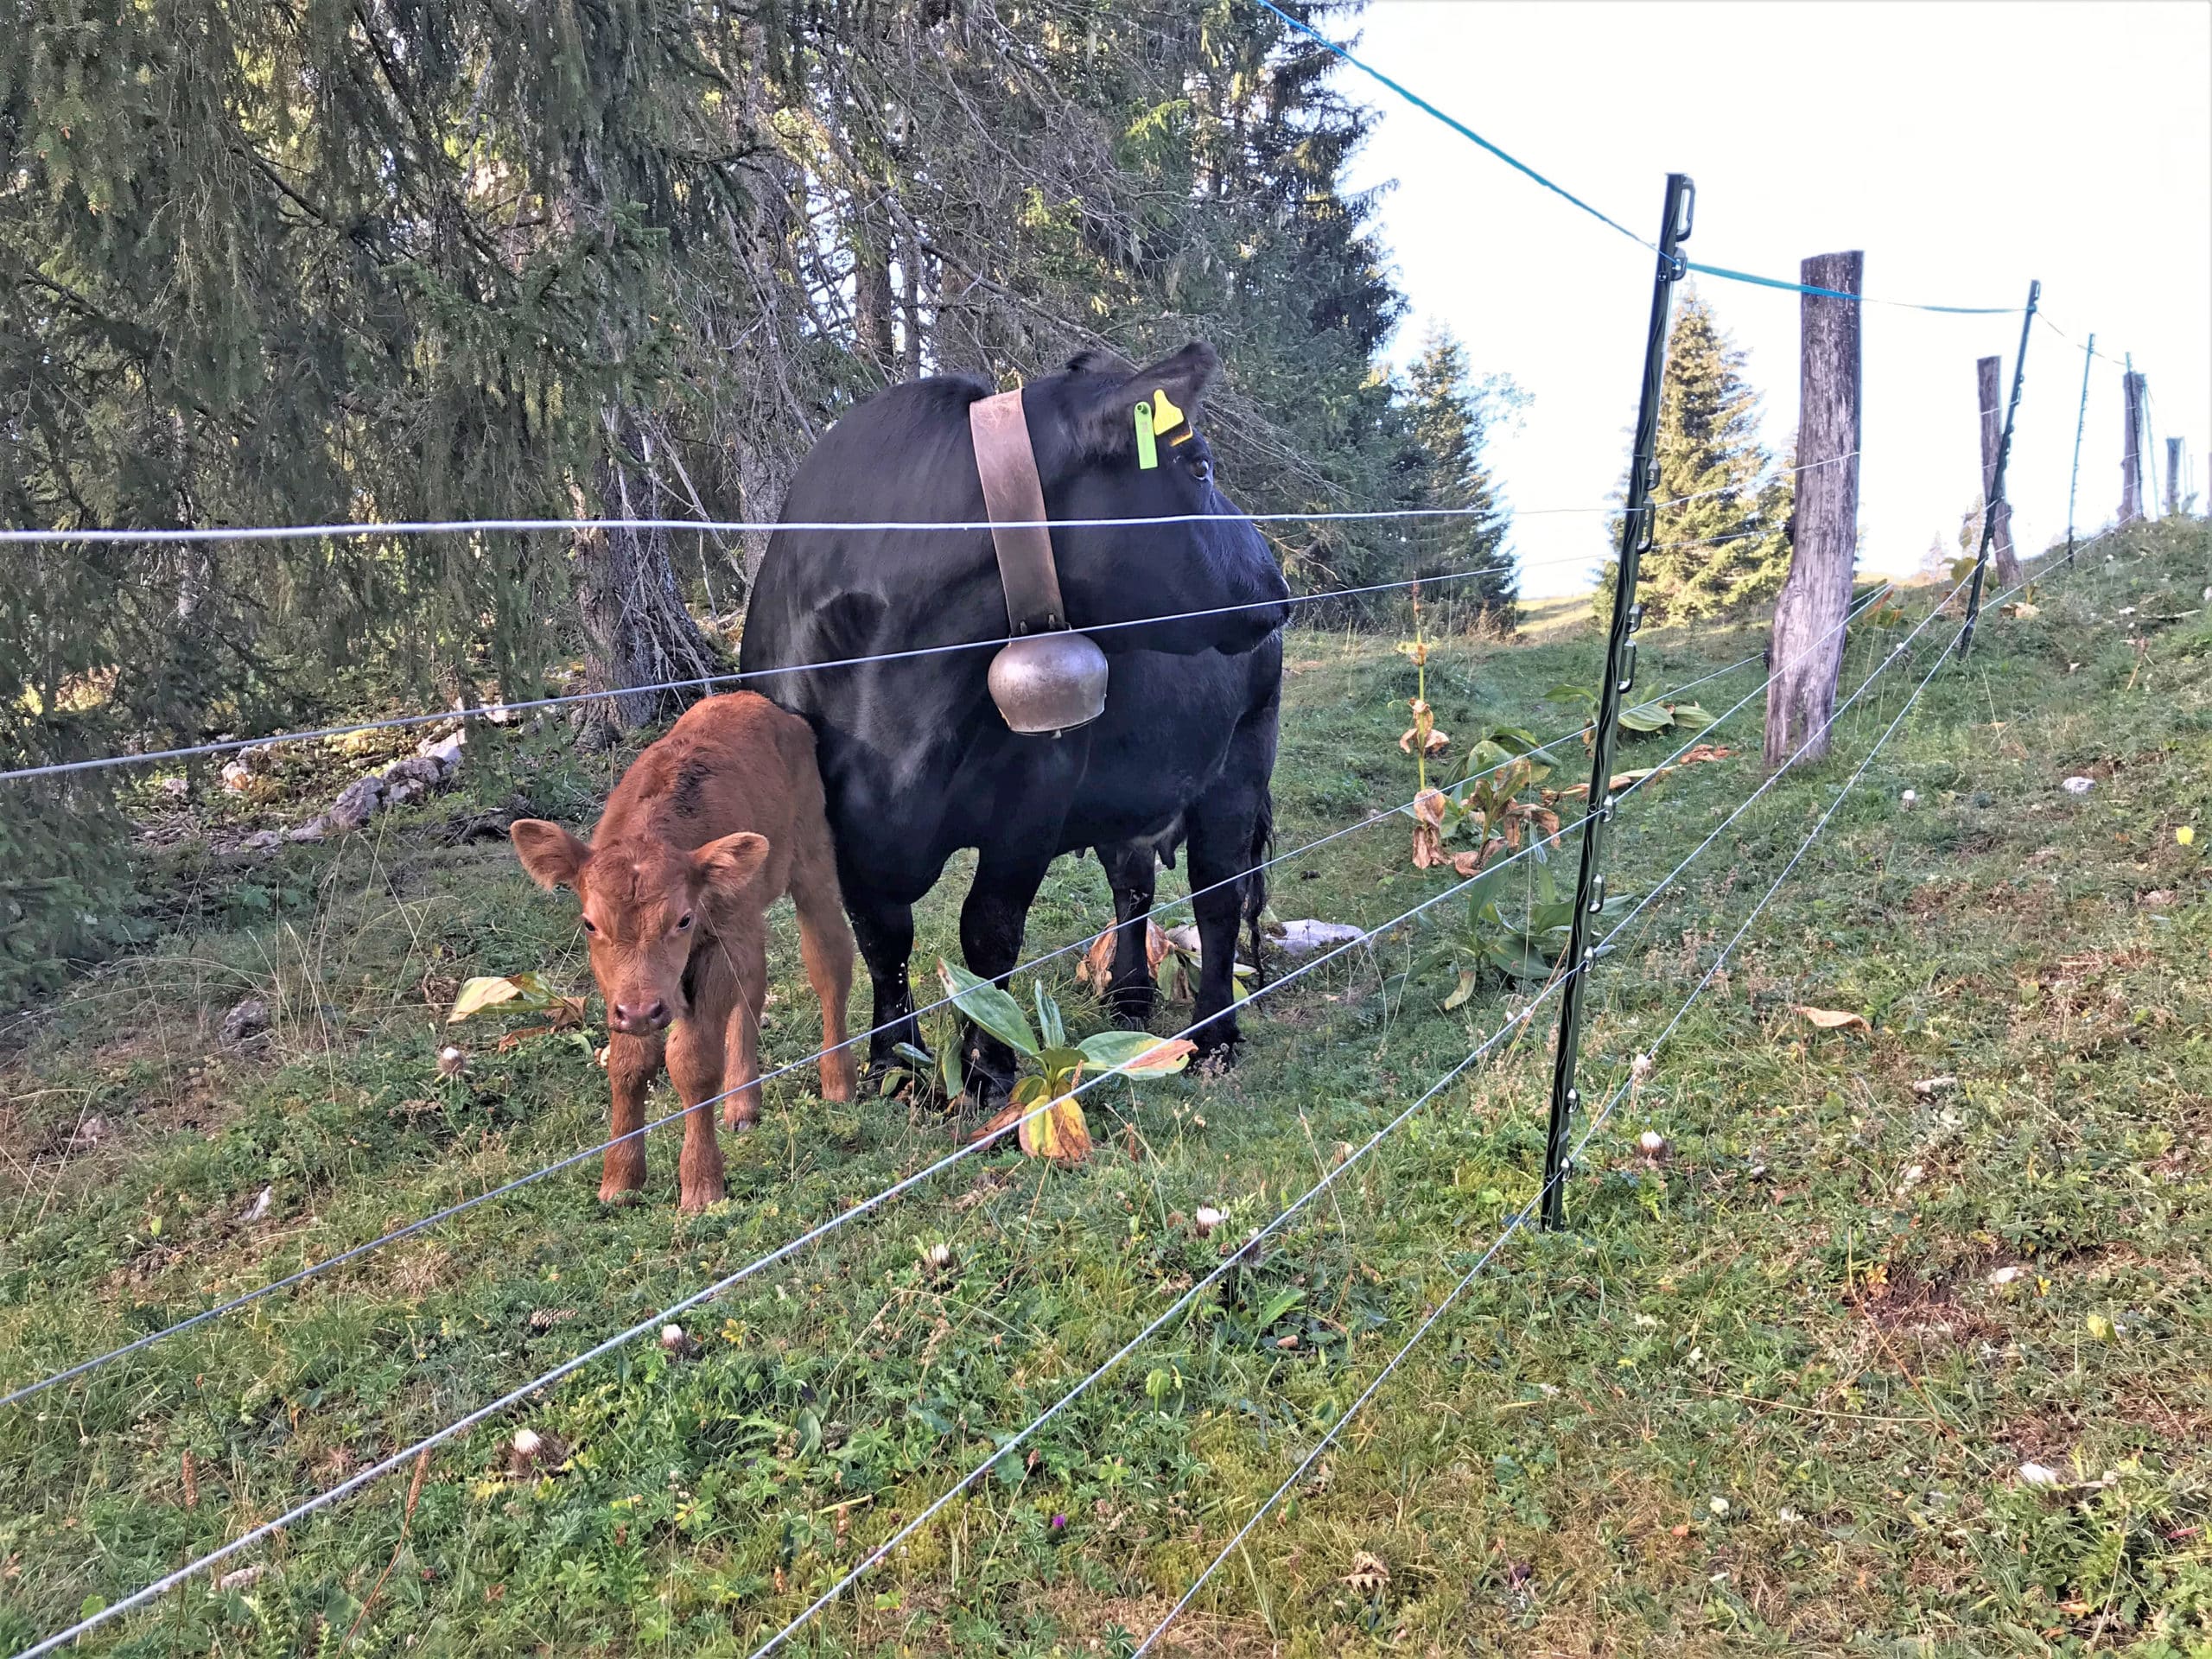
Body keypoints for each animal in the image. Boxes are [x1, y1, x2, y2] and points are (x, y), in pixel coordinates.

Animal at [508, 694, 854, 1211]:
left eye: (683, 920)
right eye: (590, 923)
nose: (642, 1011)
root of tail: (765, 705)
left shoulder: (717, 947)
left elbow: (692, 1063)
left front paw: (700, 1183)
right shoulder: (625, 989)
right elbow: (629, 1065)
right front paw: (620, 1179)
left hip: (812, 865)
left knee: (829, 963)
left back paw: (837, 1080)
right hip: (748, 920)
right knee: (753, 989)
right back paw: (742, 1102)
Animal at [743, 345, 1292, 1106]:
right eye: (1199, 467)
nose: (1278, 586)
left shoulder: (1034, 797)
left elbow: (989, 932)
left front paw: (986, 1069)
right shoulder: (832, 821)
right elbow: (882, 938)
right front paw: (893, 1065)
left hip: (1241, 758)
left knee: (1218, 895)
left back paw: (1214, 1035)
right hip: (1130, 784)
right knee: (1133, 882)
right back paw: (1129, 996)